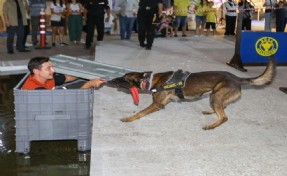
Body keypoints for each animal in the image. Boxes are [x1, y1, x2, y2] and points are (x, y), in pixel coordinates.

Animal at [108, 58, 276, 130]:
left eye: (123, 79)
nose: (110, 80)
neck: (150, 80)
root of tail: (237, 78)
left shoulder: (157, 104)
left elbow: (139, 113)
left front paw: (128, 118)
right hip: (216, 94)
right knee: (223, 108)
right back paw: (211, 111)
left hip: (216, 95)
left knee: (224, 116)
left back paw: (211, 125)